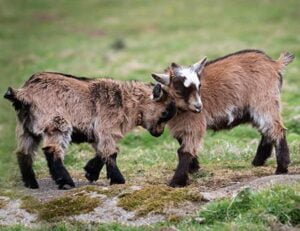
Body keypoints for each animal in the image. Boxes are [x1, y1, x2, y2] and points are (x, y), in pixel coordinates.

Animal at [4, 72, 176, 189]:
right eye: (165, 113)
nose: (159, 133)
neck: (124, 101)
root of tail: (24, 92)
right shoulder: (106, 129)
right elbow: (111, 152)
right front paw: (118, 180)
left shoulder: (96, 134)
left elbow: (101, 152)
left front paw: (90, 172)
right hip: (57, 124)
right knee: (52, 150)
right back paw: (65, 182)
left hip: (26, 128)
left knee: (23, 153)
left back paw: (31, 183)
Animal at [154, 49, 294, 187]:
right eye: (178, 91)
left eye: (199, 86)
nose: (199, 107)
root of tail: (275, 64)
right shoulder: (179, 126)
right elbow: (182, 143)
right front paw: (194, 168)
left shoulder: (194, 124)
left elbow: (184, 151)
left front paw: (177, 181)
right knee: (267, 131)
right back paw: (258, 161)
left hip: (264, 102)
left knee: (276, 129)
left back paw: (281, 168)